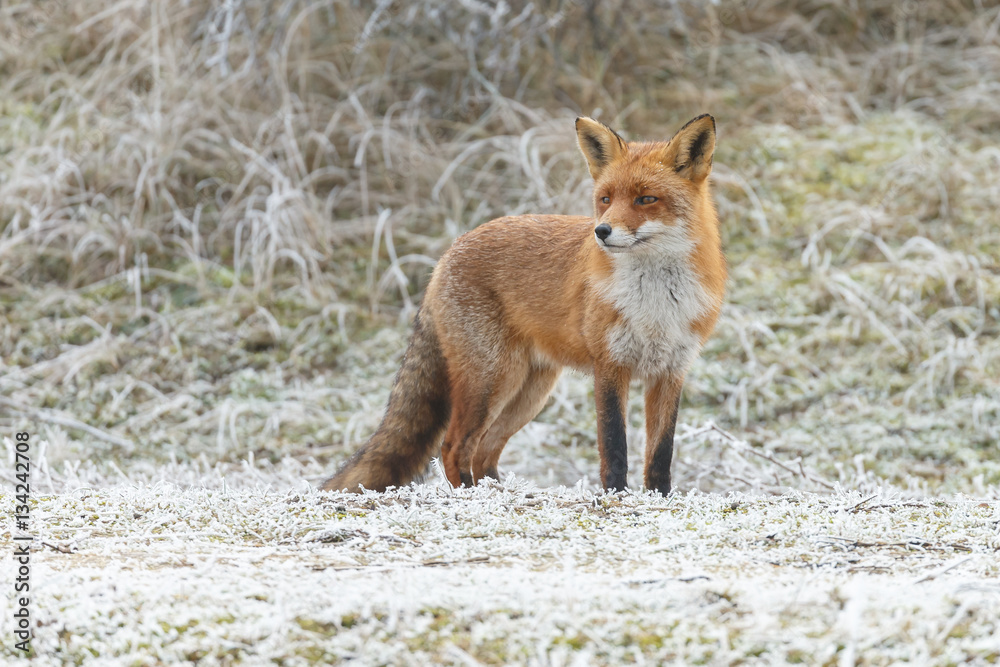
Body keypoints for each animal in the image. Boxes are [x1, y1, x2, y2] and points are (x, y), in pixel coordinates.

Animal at [322, 114, 726, 495]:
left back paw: (496, 492)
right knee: (453, 448)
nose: (602, 231)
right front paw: (616, 495)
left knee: (484, 451)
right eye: (606, 199)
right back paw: (473, 497)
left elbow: (660, 453)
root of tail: (448, 253)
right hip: (493, 379)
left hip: (529, 391)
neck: (656, 306)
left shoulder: (670, 371)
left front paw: (661, 499)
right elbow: (614, 446)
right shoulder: (610, 366)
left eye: (646, 199)